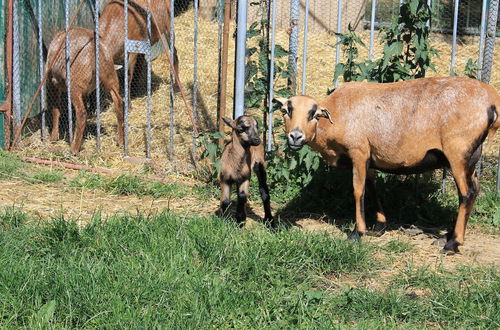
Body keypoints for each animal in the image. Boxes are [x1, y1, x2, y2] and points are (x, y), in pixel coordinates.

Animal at [276, 77, 498, 253]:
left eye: (314, 114)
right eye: (286, 110)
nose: (295, 137)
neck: (336, 118)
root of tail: (493, 102)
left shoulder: (359, 151)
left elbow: (358, 191)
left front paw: (358, 232)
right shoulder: (370, 158)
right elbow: (372, 188)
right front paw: (379, 227)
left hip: (457, 152)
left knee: (466, 194)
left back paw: (452, 244)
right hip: (471, 157)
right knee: (475, 190)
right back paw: (447, 237)